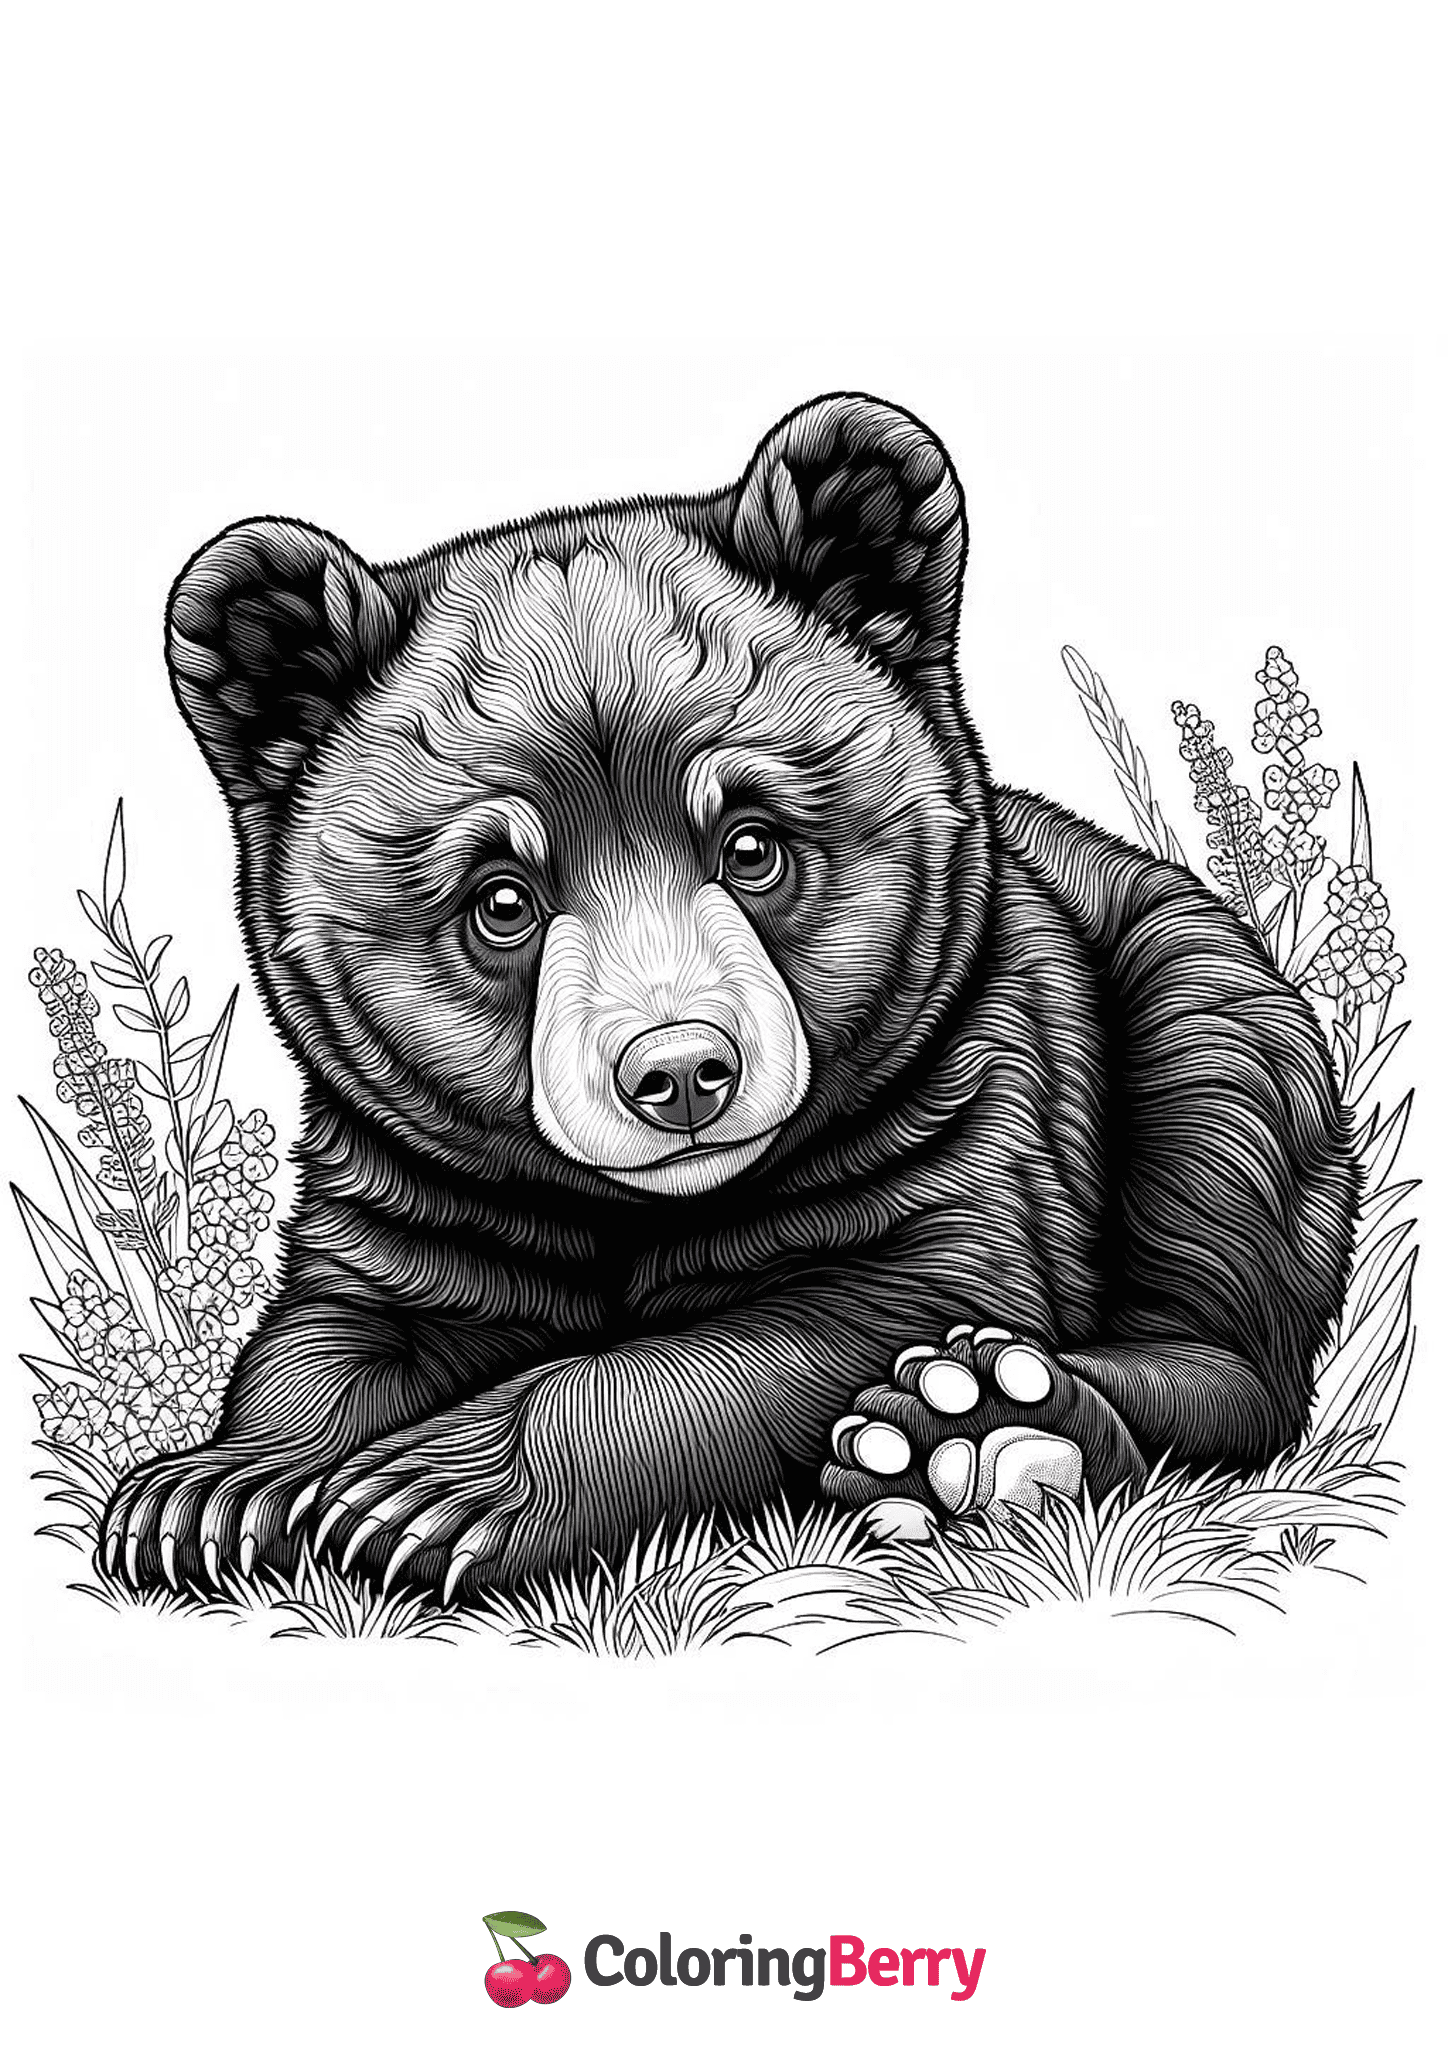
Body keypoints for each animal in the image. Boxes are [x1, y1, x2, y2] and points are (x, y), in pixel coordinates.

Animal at [100, 391, 1359, 1600]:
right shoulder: (416, 1183)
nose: (679, 1069)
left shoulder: (963, 1103)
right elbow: (334, 1330)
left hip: (1187, 991)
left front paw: (430, 1490)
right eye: (501, 898)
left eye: (750, 842)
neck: (636, 1205)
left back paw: (982, 1426)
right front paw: (215, 1489)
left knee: (1220, 1209)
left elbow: (824, 1320)